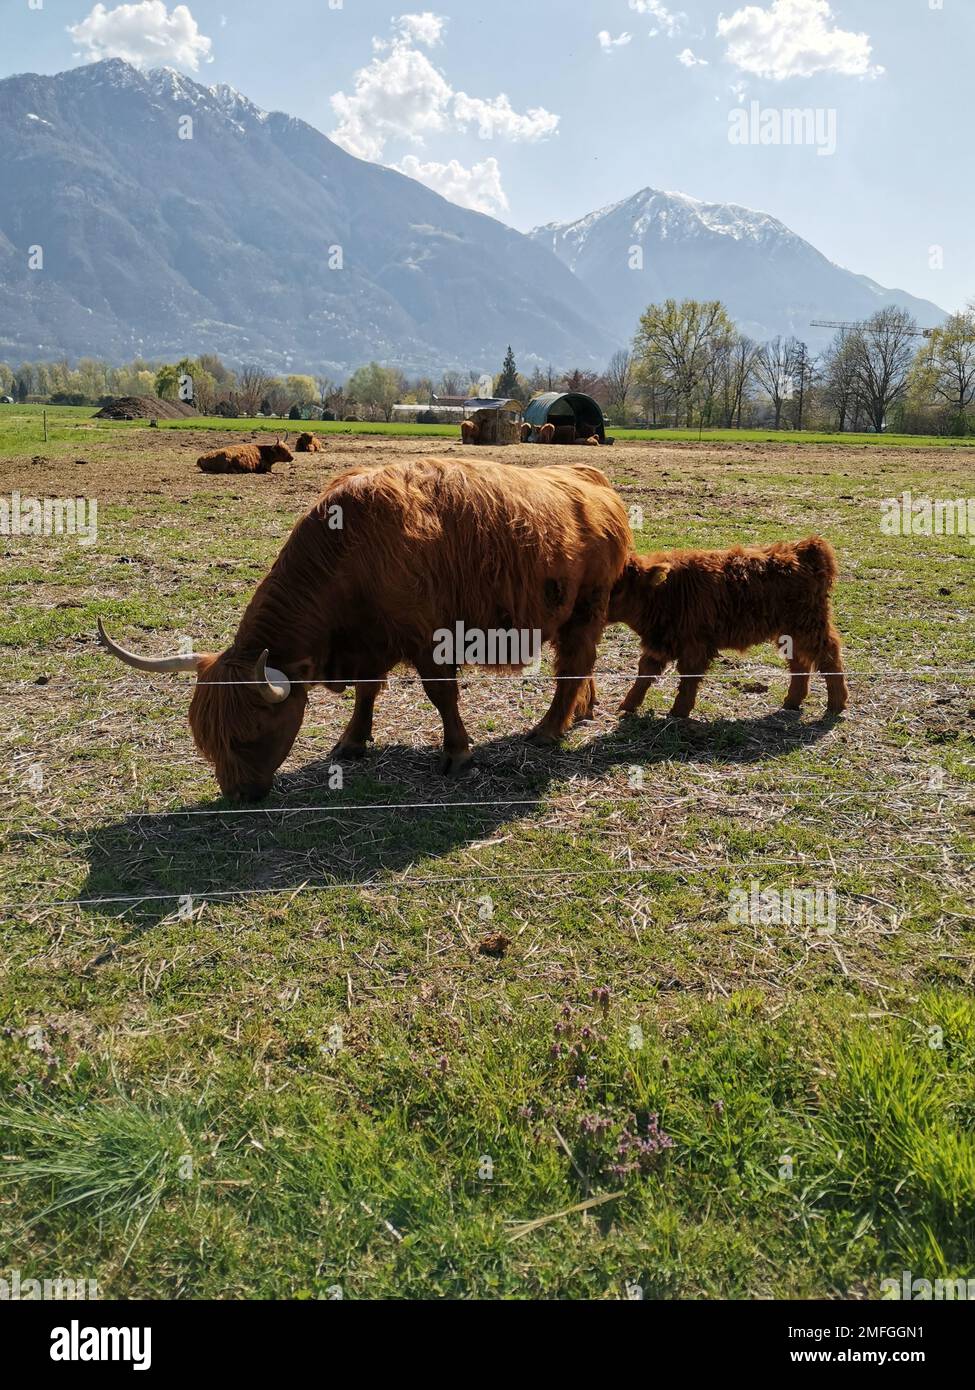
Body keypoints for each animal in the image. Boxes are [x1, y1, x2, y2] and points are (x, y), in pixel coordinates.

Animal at [98, 458, 632, 800]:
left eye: (249, 735)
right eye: (205, 738)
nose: (238, 795)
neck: (351, 551)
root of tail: (590, 477)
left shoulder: (428, 639)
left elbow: (442, 695)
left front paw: (458, 754)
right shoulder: (368, 642)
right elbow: (366, 692)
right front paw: (352, 742)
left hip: (586, 607)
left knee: (574, 664)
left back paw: (548, 729)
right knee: (579, 663)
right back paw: (582, 711)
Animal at [608, 537, 848, 719]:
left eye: (618, 589)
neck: (667, 593)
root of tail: (804, 548)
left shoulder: (694, 645)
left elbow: (688, 678)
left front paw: (679, 712)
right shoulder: (659, 643)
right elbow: (644, 673)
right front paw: (627, 705)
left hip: (809, 625)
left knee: (829, 655)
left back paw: (837, 704)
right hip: (789, 631)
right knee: (799, 661)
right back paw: (791, 701)